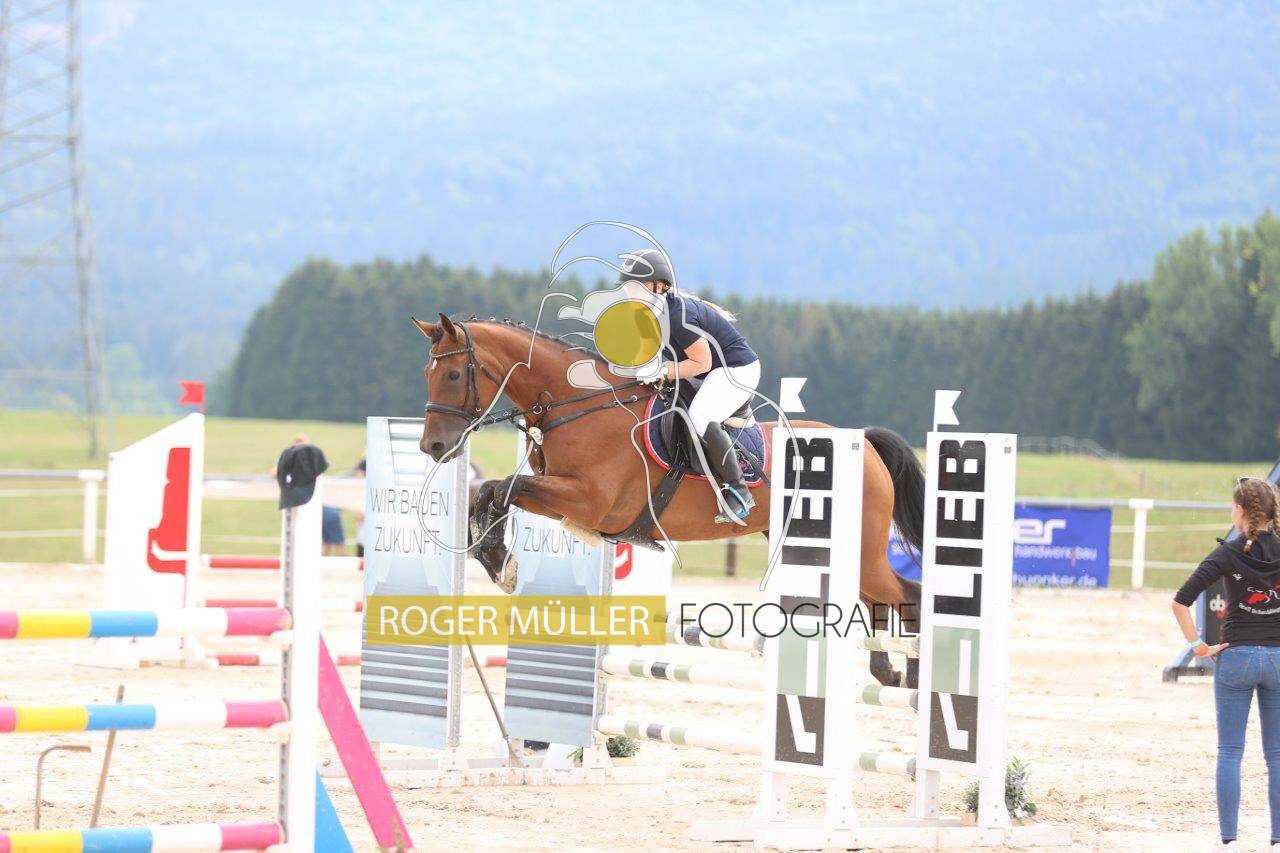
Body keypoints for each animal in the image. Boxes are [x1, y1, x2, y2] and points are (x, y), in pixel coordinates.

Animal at [413, 314, 926, 687]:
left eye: (454, 373)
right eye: (427, 373)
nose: (433, 447)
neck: (577, 405)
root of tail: (863, 443)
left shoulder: (588, 501)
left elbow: (505, 488)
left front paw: (500, 562)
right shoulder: (563, 500)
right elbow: (492, 491)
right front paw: (495, 558)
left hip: (862, 553)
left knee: (910, 595)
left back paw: (915, 676)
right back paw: (888, 671)